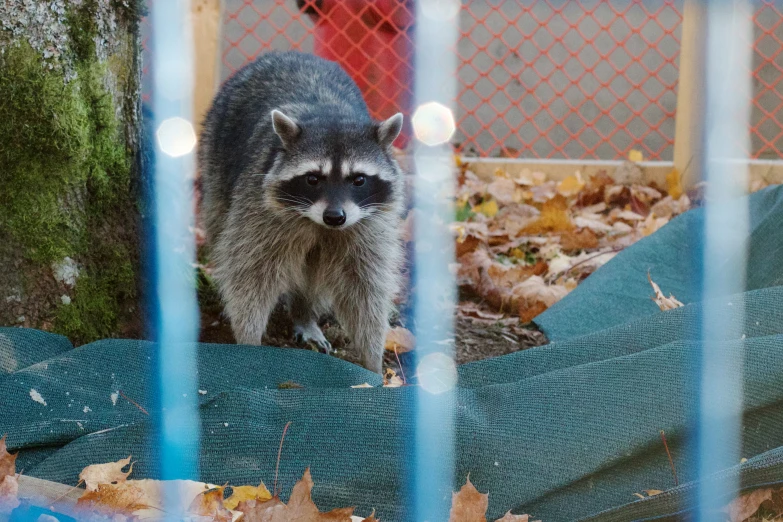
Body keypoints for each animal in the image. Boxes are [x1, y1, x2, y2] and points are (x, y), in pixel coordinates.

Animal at [198, 50, 404, 372]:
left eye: (358, 179)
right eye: (312, 179)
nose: (335, 217)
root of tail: (288, 53)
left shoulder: (369, 224)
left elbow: (365, 284)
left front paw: (372, 358)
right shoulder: (257, 208)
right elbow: (250, 272)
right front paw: (248, 340)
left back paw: (305, 314)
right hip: (215, 152)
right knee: (221, 227)